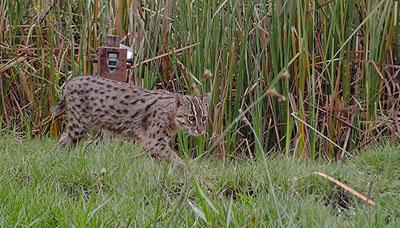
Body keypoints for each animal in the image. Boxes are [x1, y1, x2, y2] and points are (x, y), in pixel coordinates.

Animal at [50, 76, 209, 169]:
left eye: (204, 118)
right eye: (191, 118)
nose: (200, 130)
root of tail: (72, 80)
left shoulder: (152, 143)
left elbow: (158, 161)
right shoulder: (155, 141)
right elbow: (174, 156)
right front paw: (187, 170)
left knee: (64, 140)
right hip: (79, 125)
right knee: (64, 141)